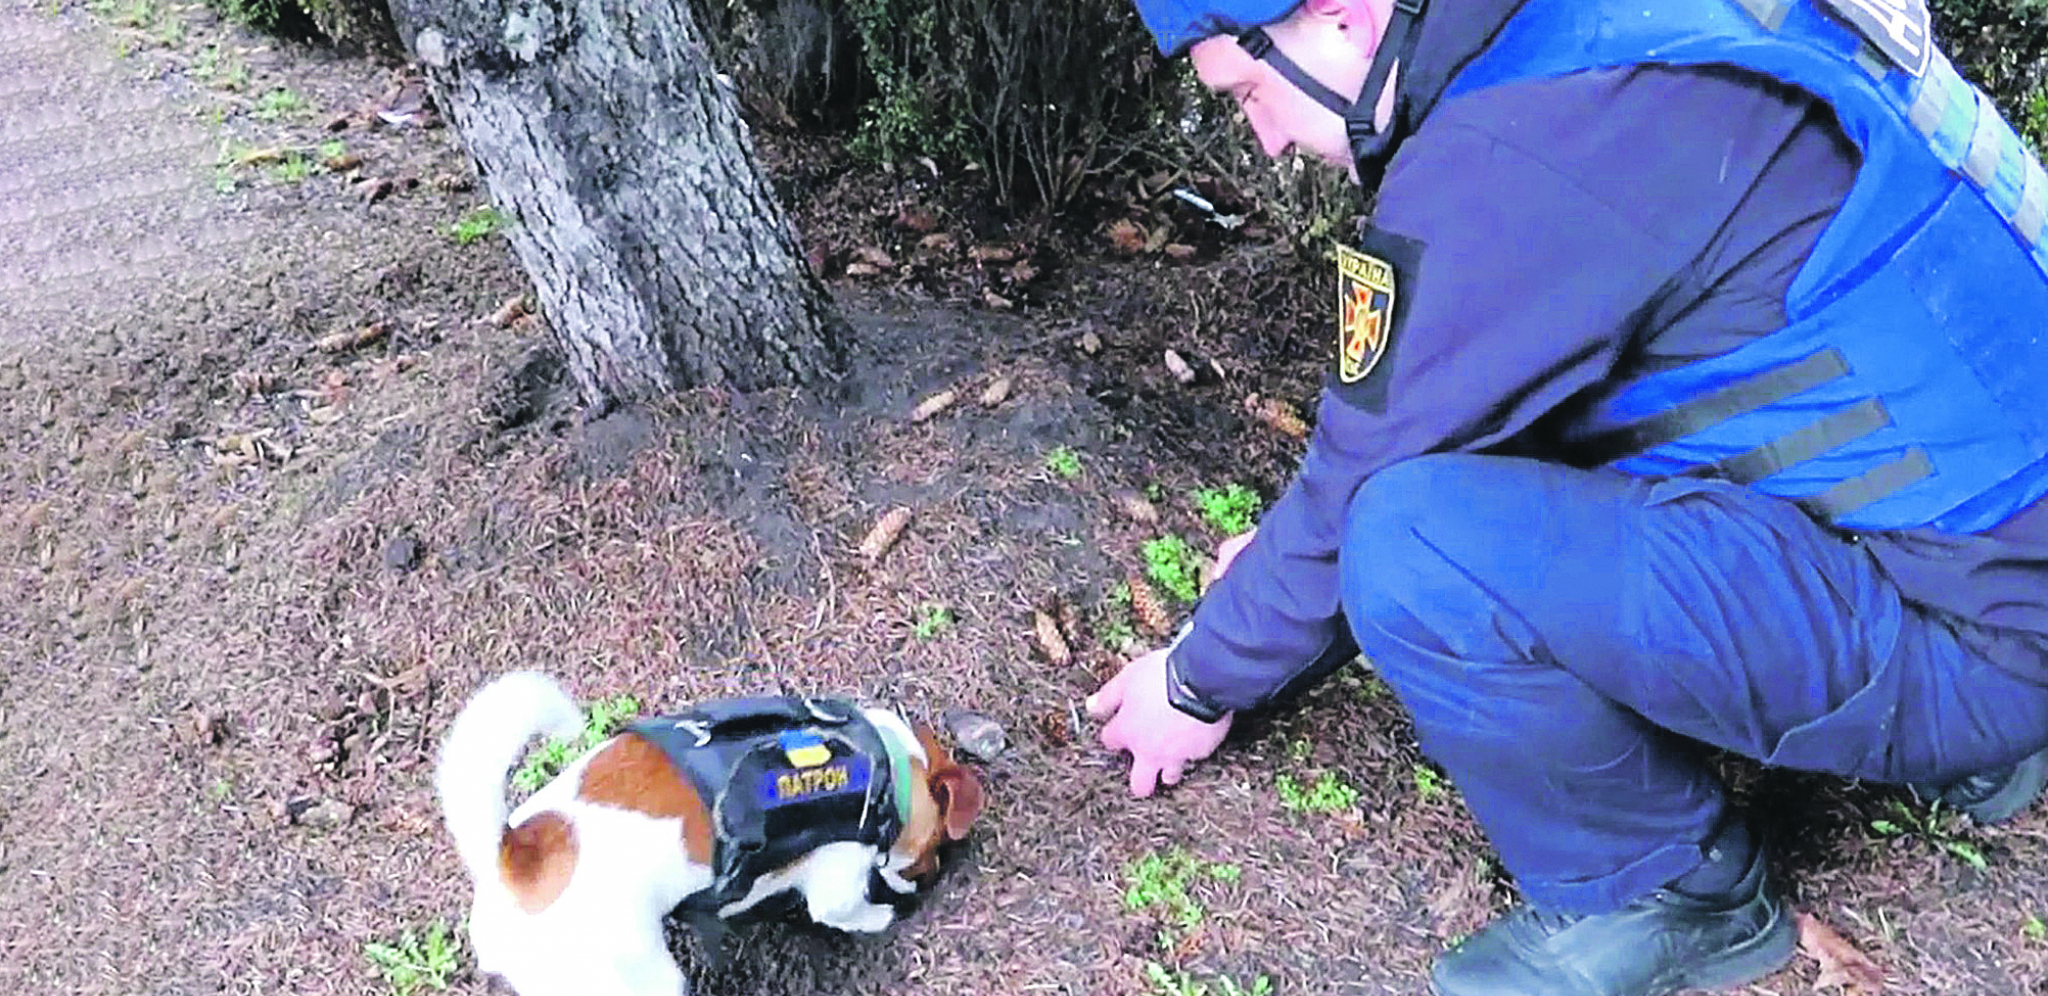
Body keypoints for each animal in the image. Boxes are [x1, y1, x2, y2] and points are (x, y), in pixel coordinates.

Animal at [434, 668, 983, 996]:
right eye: (933, 846)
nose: (934, 873)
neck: (884, 762)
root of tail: (511, 861)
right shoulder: (837, 880)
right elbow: (847, 912)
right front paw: (881, 915)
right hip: (639, 977)